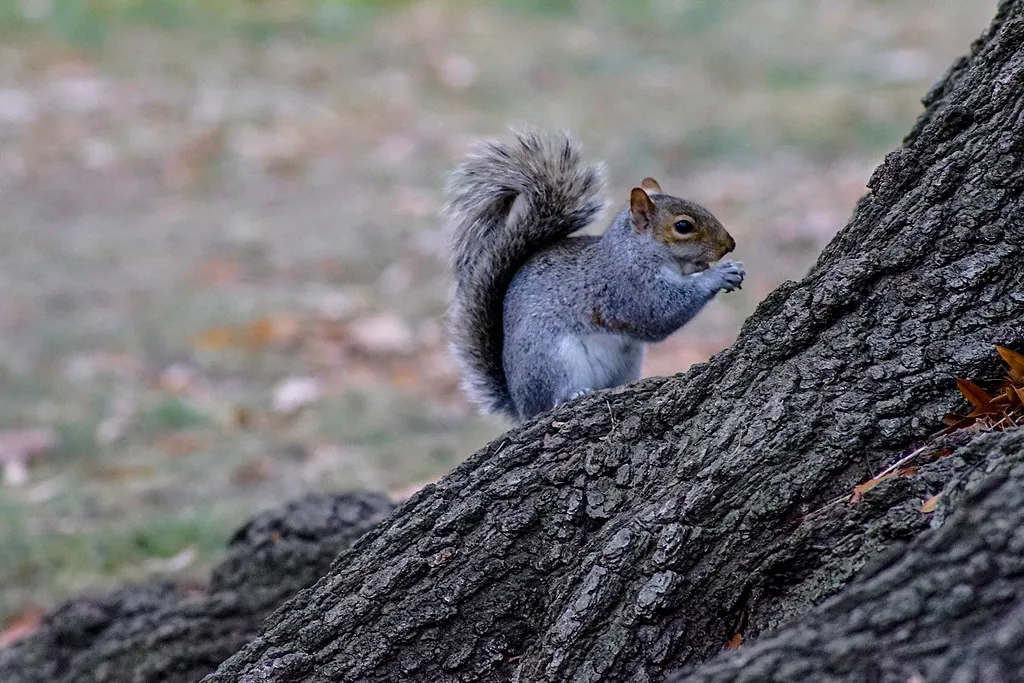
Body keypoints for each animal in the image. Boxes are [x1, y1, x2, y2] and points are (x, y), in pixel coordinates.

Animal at [445, 129, 744, 423]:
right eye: (683, 226)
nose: (729, 244)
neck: (636, 250)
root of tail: (521, 407)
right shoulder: (626, 285)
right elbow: (659, 313)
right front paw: (718, 274)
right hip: (550, 359)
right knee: (550, 398)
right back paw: (571, 395)